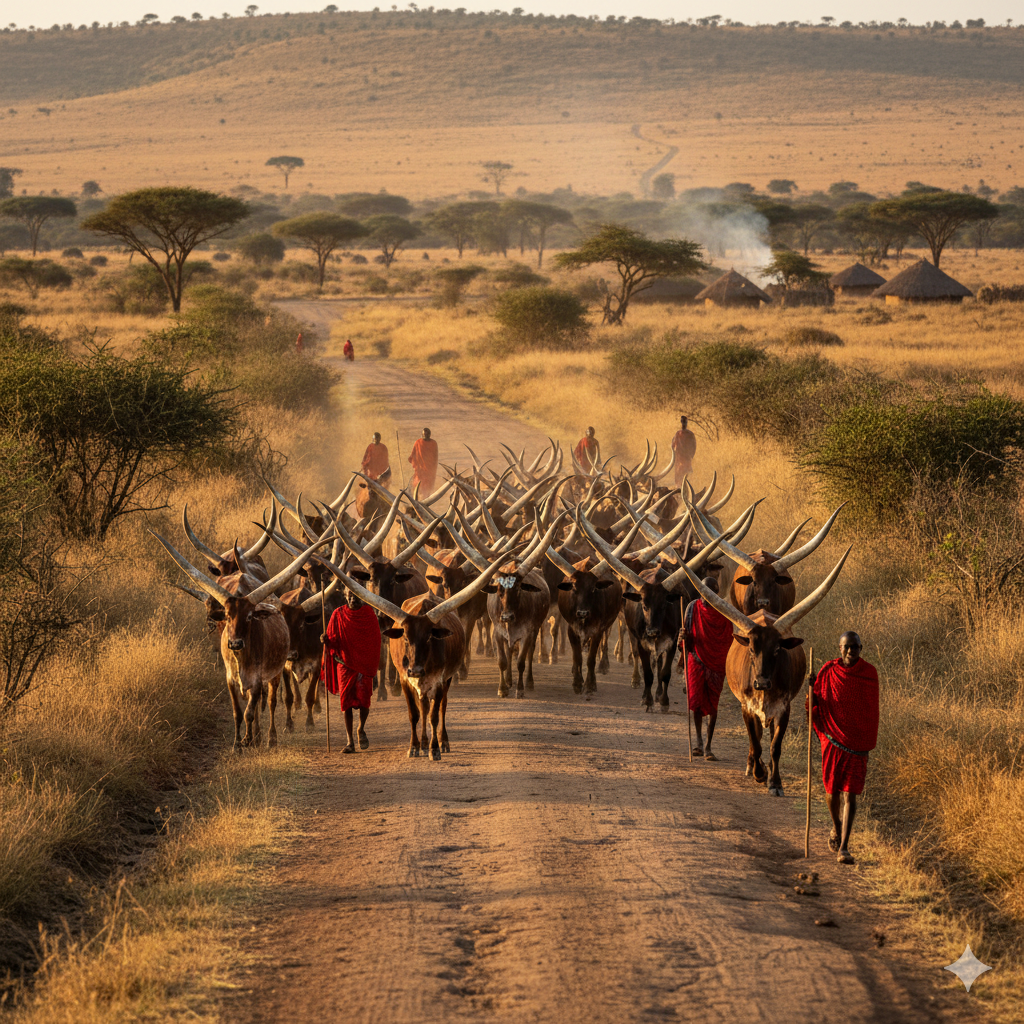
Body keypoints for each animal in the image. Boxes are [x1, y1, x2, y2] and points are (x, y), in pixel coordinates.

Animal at [154, 527, 336, 750]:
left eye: (249, 616)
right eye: (227, 615)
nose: (235, 643)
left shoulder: (260, 678)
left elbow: (252, 710)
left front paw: (250, 739)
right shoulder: (230, 679)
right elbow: (238, 712)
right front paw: (238, 743)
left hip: (274, 674)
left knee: (271, 702)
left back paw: (268, 737)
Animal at [321, 560, 504, 760]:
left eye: (429, 638)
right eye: (406, 638)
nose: (415, 670)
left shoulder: (439, 680)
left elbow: (434, 715)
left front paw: (435, 749)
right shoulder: (405, 680)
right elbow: (414, 714)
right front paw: (415, 747)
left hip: (445, 679)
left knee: (441, 706)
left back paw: (443, 742)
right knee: (423, 705)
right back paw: (423, 742)